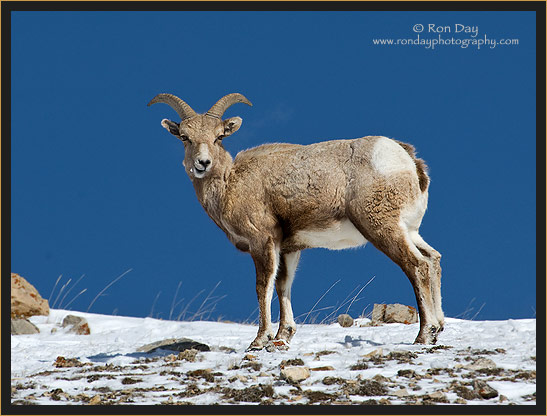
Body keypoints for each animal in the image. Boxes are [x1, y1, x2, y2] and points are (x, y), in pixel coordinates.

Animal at [150, 92, 446, 350]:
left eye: (219, 136)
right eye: (185, 137)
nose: (203, 163)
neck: (230, 184)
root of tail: (406, 158)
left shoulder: (263, 242)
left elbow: (263, 287)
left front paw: (259, 341)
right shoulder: (288, 249)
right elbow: (283, 286)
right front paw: (283, 336)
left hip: (381, 227)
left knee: (416, 265)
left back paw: (424, 335)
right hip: (408, 230)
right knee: (432, 259)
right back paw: (438, 329)